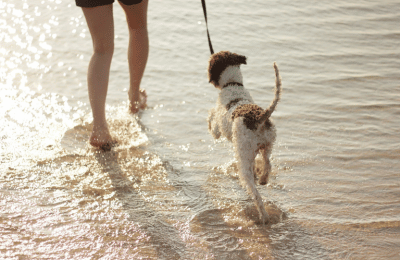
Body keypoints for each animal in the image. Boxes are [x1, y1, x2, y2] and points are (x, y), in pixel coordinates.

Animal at [206, 50, 282, 223]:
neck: (233, 84)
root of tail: (259, 118)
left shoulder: (218, 128)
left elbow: (212, 117)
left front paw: (208, 123)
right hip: (267, 145)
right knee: (268, 164)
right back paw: (263, 179)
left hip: (244, 156)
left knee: (256, 194)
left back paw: (263, 216)